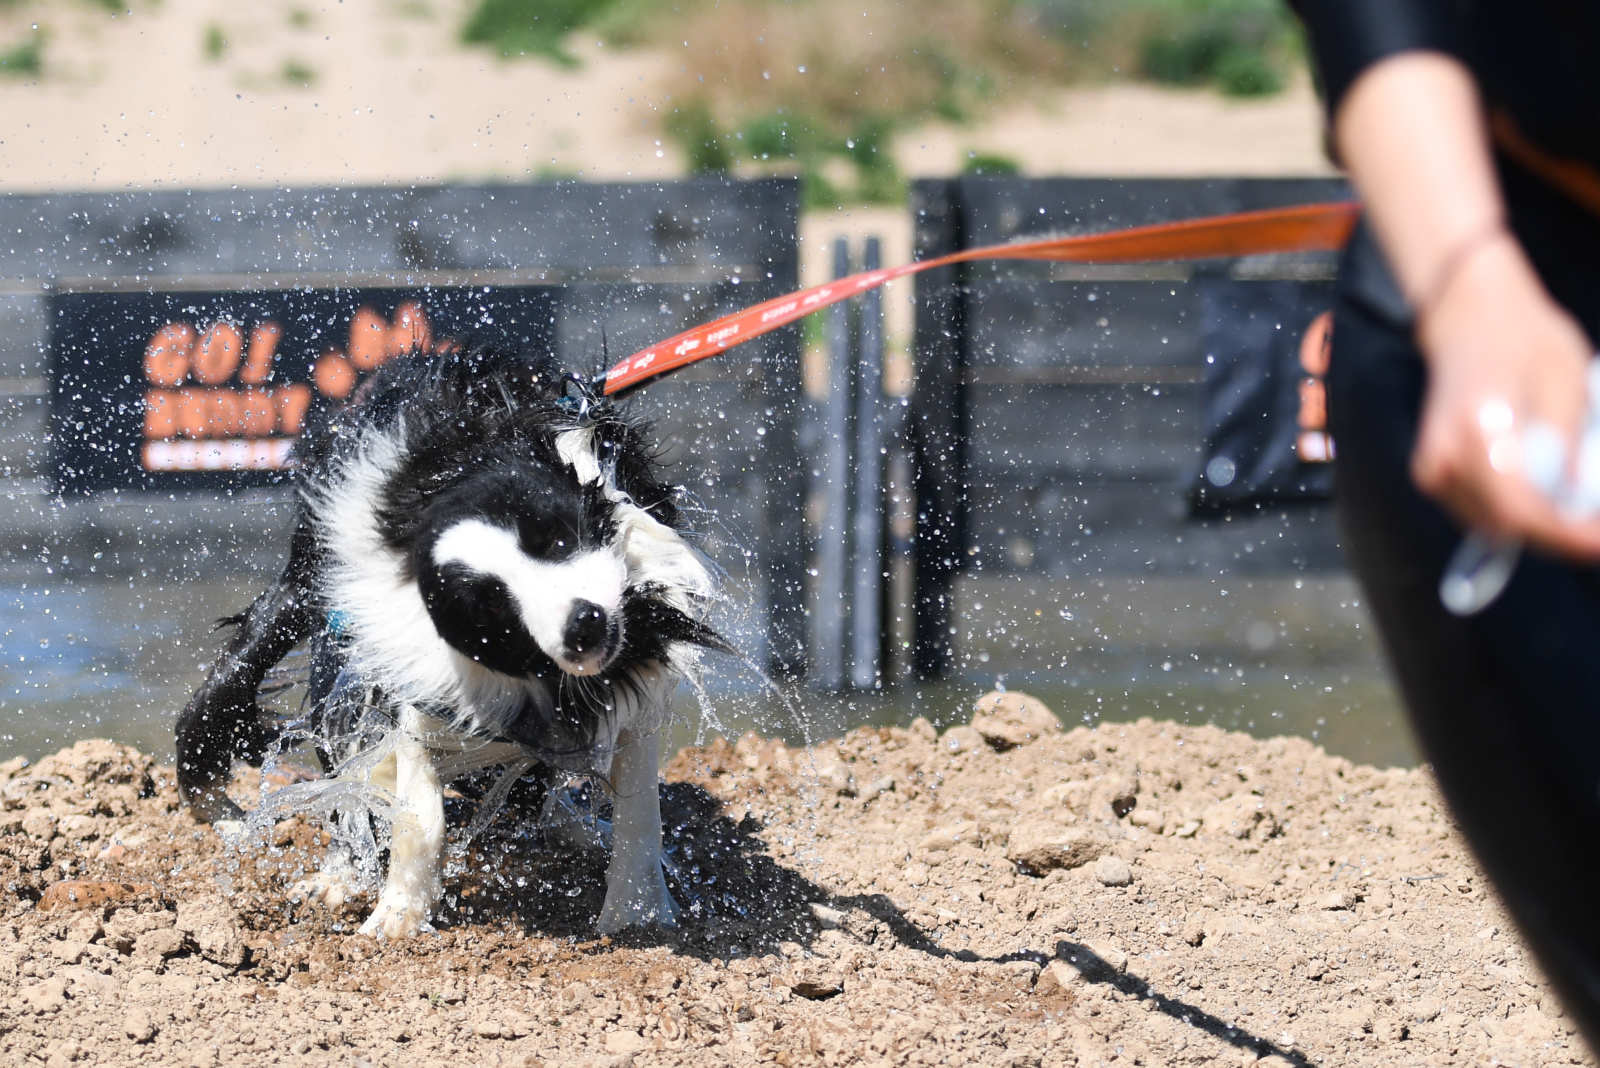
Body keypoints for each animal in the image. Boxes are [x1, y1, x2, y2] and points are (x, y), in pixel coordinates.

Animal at [175, 342, 726, 933]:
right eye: (490, 606)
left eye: (554, 536)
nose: (585, 624)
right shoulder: (421, 682)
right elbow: (419, 808)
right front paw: (396, 918)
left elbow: (639, 806)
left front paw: (635, 914)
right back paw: (342, 874)